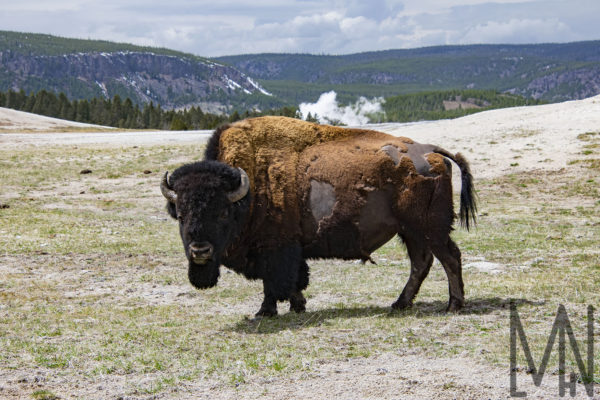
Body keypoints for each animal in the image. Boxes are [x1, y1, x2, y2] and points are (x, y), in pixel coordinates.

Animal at [161, 115, 478, 316]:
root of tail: (431, 151)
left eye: (222, 213)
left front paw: (265, 311)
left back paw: (453, 305)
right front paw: (297, 306)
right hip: (410, 231)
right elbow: (292, 281)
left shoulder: (275, 249)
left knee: (449, 258)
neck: (247, 191)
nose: (200, 251)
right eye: (181, 215)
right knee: (421, 263)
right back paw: (399, 304)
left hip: (429, 229)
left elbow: (274, 281)